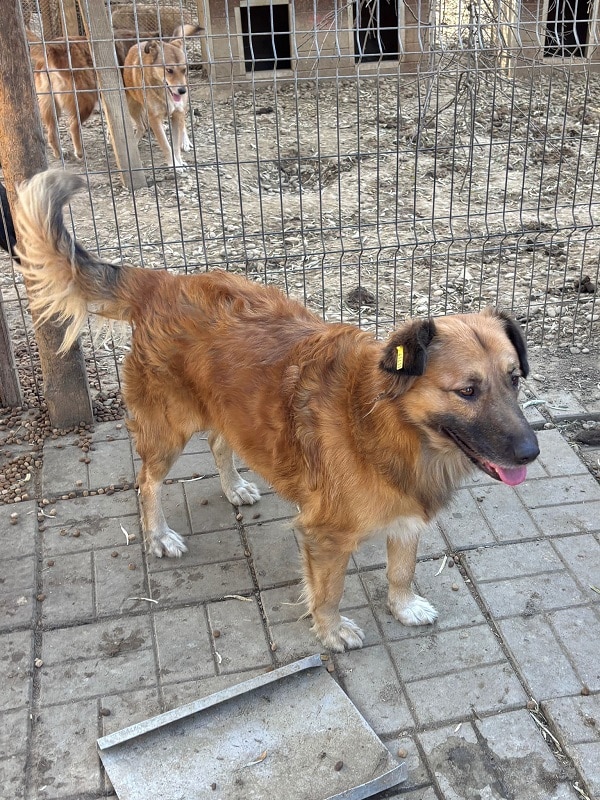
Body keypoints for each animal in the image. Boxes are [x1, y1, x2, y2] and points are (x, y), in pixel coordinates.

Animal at [16, 171, 540, 652]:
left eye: (514, 380)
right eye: (467, 391)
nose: (531, 452)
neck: (386, 424)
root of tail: (163, 281)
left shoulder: (407, 517)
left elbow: (402, 570)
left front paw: (404, 606)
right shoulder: (325, 536)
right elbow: (329, 592)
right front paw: (331, 631)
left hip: (226, 410)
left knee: (219, 442)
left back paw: (234, 487)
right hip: (167, 429)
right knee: (147, 482)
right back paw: (159, 535)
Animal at [123, 38, 190, 167]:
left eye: (184, 70)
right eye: (169, 70)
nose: (182, 91)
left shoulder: (177, 114)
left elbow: (175, 145)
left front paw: (179, 162)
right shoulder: (154, 118)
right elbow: (166, 145)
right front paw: (174, 164)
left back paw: (186, 141)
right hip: (131, 107)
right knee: (141, 126)